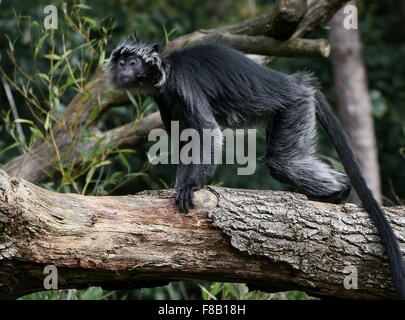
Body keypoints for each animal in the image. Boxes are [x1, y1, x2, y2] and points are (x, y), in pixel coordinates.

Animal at [107, 38, 404, 298]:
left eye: (132, 62)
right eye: (121, 63)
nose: (123, 69)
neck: (166, 72)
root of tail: (296, 82)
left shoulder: (181, 84)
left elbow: (209, 133)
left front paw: (190, 186)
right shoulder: (165, 99)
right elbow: (185, 143)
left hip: (296, 105)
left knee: (283, 163)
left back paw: (342, 190)